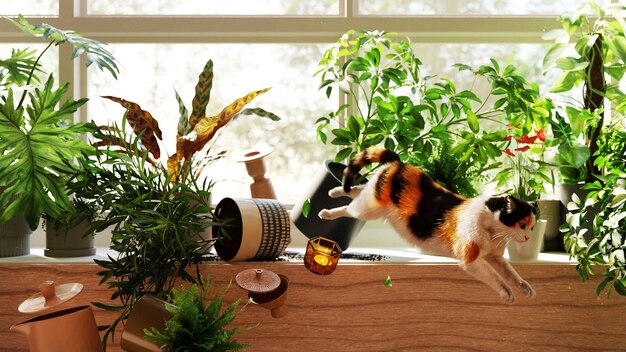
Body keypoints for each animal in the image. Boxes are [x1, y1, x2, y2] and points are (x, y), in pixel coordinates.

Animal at [316, 146, 536, 302]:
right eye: (522, 225)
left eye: (532, 227)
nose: (528, 237)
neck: (493, 232)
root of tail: (398, 163)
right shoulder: (471, 259)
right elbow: (494, 276)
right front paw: (507, 292)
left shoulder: (495, 257)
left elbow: (511, 272)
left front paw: (525, 287)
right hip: (368, 210)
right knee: (349, 208)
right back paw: (326, 212)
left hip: (372, 199)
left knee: (357, 189)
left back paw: (334, 191)